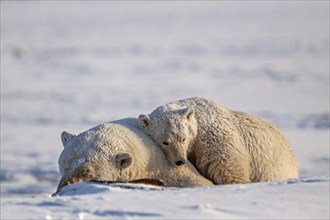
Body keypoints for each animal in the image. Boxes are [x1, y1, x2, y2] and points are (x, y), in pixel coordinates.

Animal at [138, 96, 298, 184]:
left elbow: (228, 169)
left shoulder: (213, 139)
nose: (180, 161)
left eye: (183, 138)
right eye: (165, 142)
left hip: (272, 166)